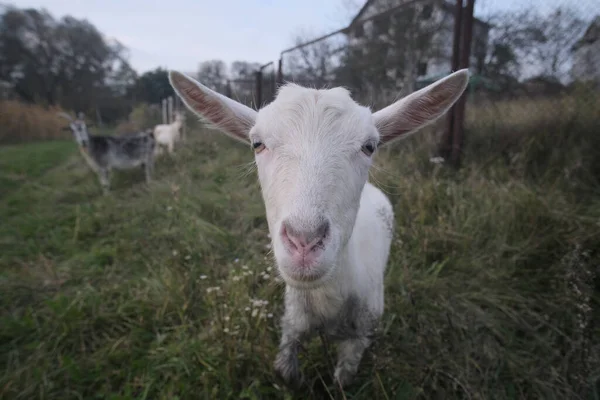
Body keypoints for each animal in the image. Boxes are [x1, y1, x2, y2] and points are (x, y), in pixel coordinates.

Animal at [168, 69, 468, 388]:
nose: (304, 241)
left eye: (369, 146)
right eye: (256, 143)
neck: (326, 303)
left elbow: (342, 381)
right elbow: (287, 372)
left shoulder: (359, 337)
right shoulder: (292, 325)